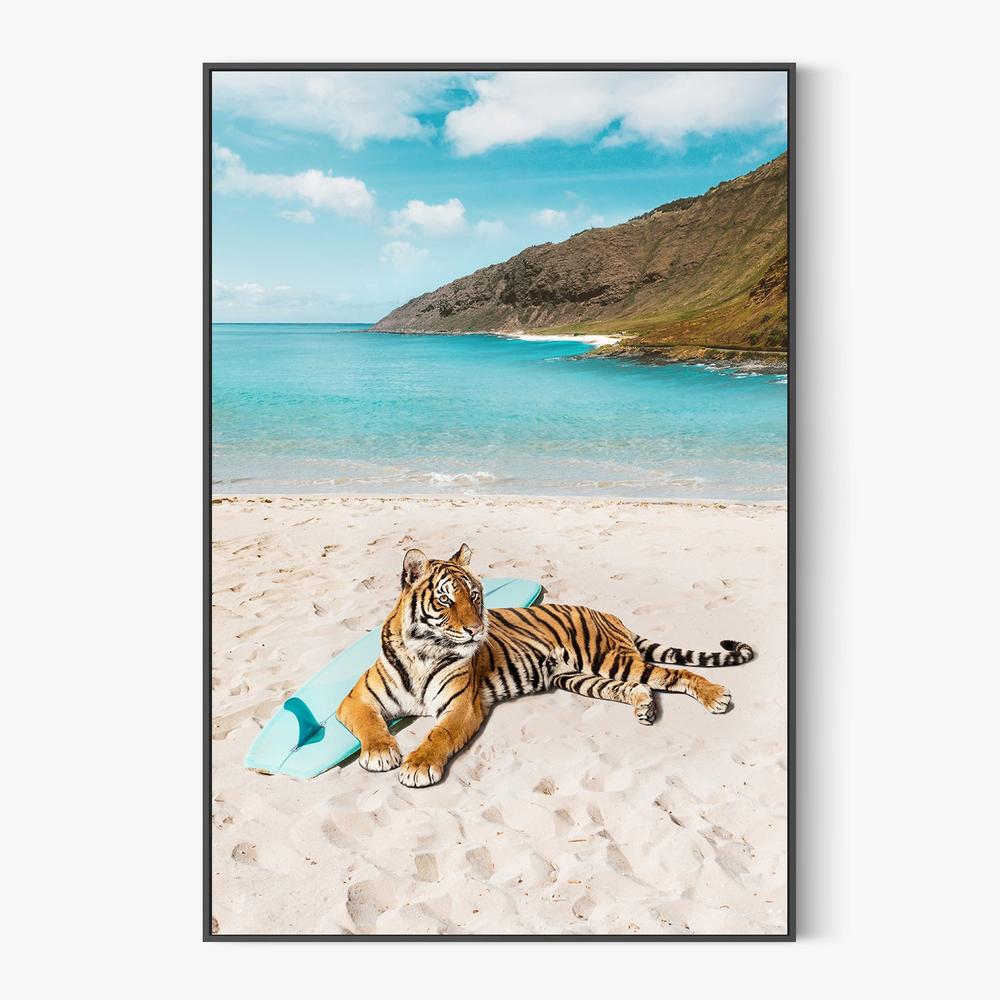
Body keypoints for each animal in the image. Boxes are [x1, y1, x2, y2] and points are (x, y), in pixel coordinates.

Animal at [336, 544, 754, 788]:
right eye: (445, 600)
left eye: (475, 596)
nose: (476, 629)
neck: (424, 652)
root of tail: (609, 614)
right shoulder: (356, 700)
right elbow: (370, 724)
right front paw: (380, 752)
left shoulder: (461, 706)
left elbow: (439, 734)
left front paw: (418, 765)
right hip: (579, 678)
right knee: (638, 688)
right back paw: (645, 708)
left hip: (610, 659)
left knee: (674, 674)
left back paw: (715, 697)